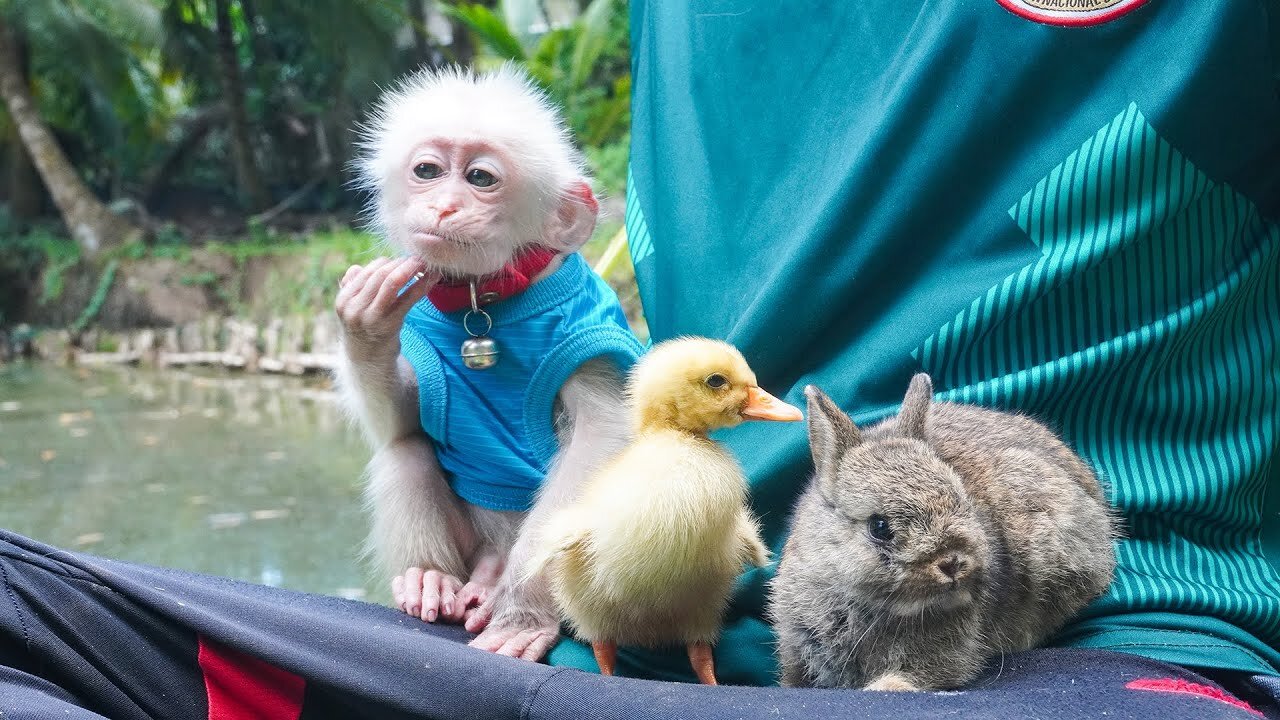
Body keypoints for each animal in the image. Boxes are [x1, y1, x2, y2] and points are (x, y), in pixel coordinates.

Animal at [337, 64, 640, 661]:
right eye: (427, 171)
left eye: (479, 178)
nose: (444, 206)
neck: (487, 300)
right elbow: (402, 422)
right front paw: (367, 327)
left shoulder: (585, 329)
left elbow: (599, 437)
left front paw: (522, 611)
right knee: (405, 451)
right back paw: (432, 578)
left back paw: (498, 583)